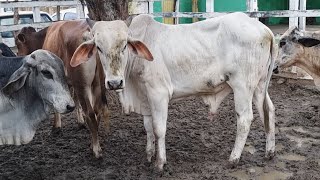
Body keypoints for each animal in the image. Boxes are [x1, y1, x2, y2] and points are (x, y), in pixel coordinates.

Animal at [15, 19, 109, 158]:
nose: (18, 56)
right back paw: (92, 143)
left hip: (82, 84)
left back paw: (96, 150)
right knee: (97, 111)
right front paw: (80, 122)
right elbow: (74, 100)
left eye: (18, 45)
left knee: (90, 113)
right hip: (97, 83)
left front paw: (56, 127)